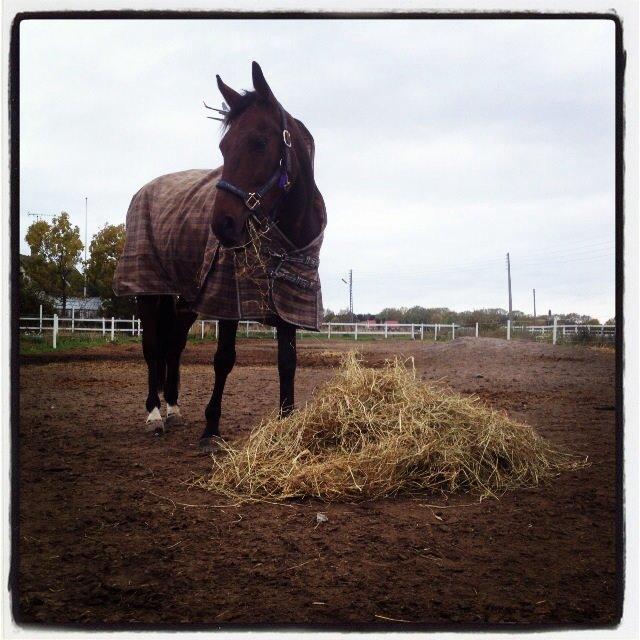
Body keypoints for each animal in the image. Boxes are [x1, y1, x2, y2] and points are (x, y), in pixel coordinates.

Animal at [110, 61, 328, 450]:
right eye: (224, 147)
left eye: (259, 142)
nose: (223, 225)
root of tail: (144, 190)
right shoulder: (227, 298)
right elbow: (224, 358)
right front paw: (211, 429)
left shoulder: (289, 301)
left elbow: (287, 362)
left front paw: (287, 422)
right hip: (148, 292)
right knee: (152, 349)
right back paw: (154, 415)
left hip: (185, 301)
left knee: (174, 348)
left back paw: (174, 409)